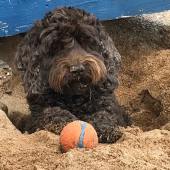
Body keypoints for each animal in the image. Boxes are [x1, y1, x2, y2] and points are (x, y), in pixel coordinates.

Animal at [15, 6, 131, 143]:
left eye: (86, 41)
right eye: (56, 46)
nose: (77, 69)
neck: (74, 98)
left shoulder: (108, 105)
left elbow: (105, 113)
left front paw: (106, 127)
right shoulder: (37, 115)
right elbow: (50, 112)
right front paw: (63, 119)